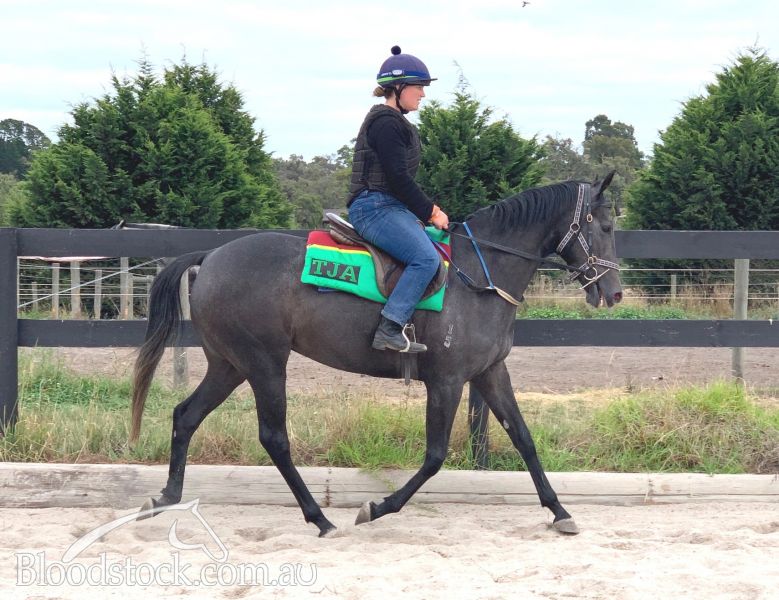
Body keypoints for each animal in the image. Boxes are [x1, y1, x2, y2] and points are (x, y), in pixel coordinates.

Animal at [130, 173, 623, 537]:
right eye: (605, 227)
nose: (615, 292)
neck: (479, 275)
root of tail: (211, 255)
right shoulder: (446, 381)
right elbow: (435, 456)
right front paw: (377, 507)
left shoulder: (489, 373)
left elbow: (523, 438)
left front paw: (559, 511)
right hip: (264, 364)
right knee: (274, 437)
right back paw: (320, 519)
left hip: (230, 365)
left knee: (185, 415)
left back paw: (166, 497)